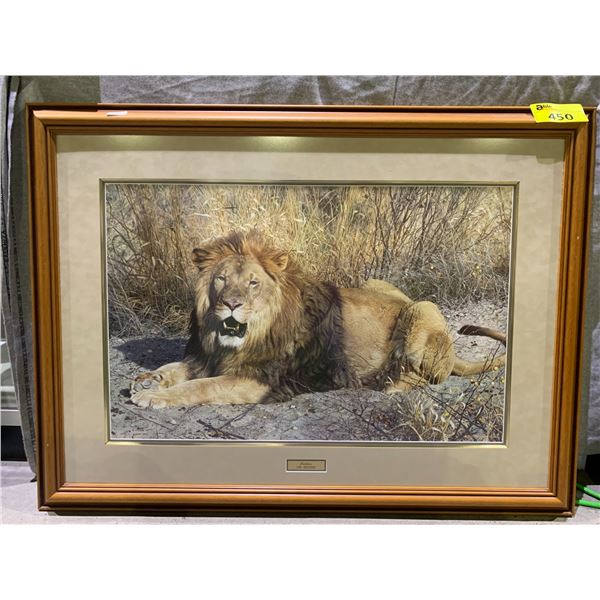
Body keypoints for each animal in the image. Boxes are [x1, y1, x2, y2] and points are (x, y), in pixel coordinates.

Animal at [130, 231, 506, 408]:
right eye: (221, 280)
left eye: (253, 283)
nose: (231, 305)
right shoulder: (205, 358)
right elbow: (176, 369)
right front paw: (148, 381)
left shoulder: (262, 380)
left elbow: (201, 386)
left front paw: (156, 398)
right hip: (374, 283)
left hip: (421, 309)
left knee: (425, 376)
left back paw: (389, 384)